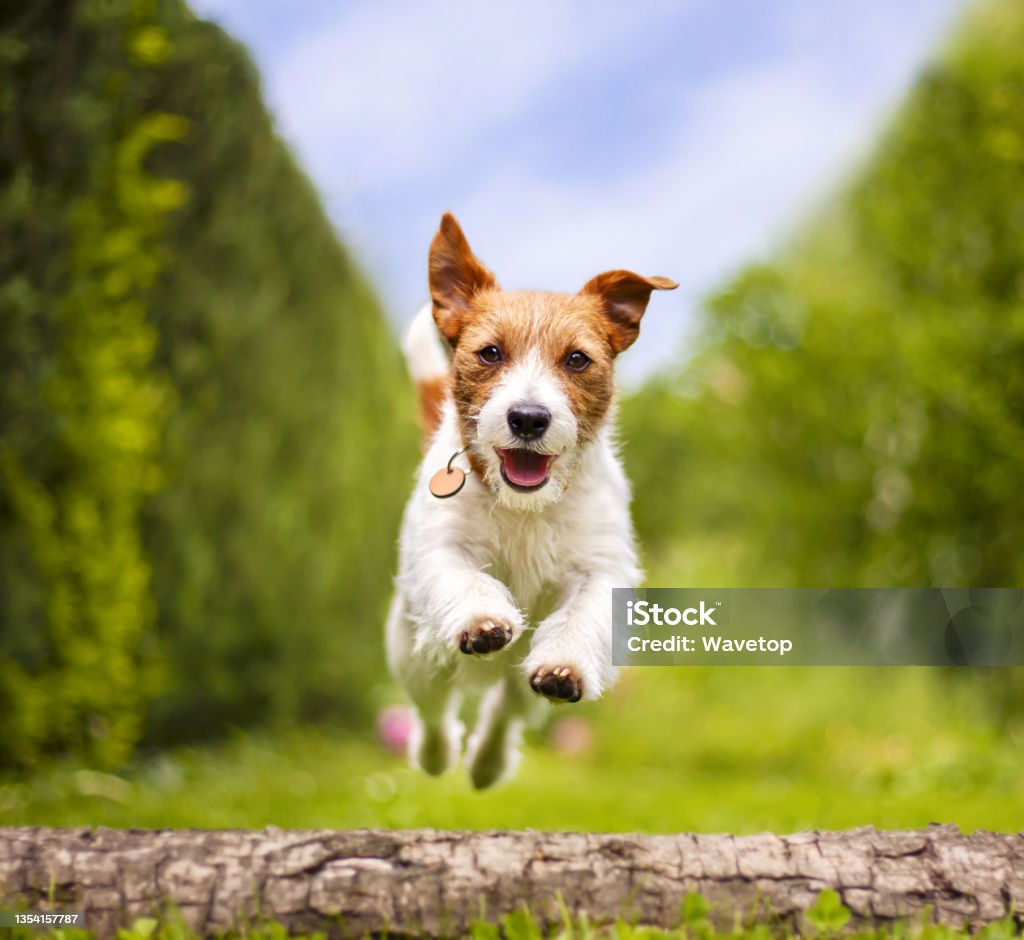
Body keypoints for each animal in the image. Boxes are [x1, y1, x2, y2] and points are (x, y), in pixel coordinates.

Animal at [385, 211, 671, 786]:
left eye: (577, 359)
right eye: (491, 353)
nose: (529, 418)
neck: (526, 506)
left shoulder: (600, 567)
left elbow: (581, 612)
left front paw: (565, 666)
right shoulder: (442, 547)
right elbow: (465, 578)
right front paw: (482, 620)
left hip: (516, 684)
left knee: (504, 712)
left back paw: (487, 764)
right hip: (414, 655)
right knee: (433, 709)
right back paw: (435, 756)